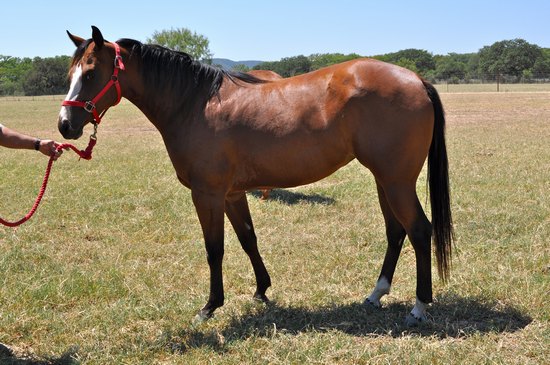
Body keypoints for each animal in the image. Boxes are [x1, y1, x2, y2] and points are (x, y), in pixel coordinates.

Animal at [56, 27, 454, 326]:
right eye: (70, 75)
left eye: (90, 74)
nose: (65, 125)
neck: (195, 104)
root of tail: (416, 79)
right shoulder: (233, 194)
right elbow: (248, 239)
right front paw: (262, 289)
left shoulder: (208, 194)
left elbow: (214, 249)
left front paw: (209, 307)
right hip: (384, 179)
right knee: (396, 231)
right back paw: (375, 294)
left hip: (397, 181)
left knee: (420, 230)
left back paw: (419, 307)